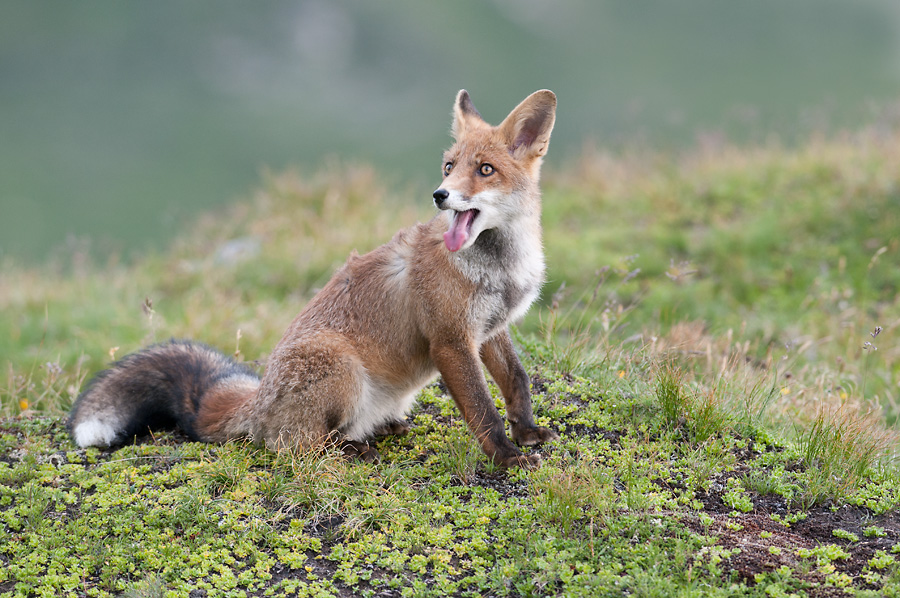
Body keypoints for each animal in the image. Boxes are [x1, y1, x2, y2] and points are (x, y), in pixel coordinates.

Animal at [70, 90, 560, 474]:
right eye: (448, 166)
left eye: (485, 169)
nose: (440, 195)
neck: (499, 269)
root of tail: (258, 400)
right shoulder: (450, 340)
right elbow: (482, 409)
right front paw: (506, 457)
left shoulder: (490, 329)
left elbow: (516, 382)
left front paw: (527, 432)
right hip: (339, 365)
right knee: (294, 446)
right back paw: (349, 450)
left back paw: (379, 429)